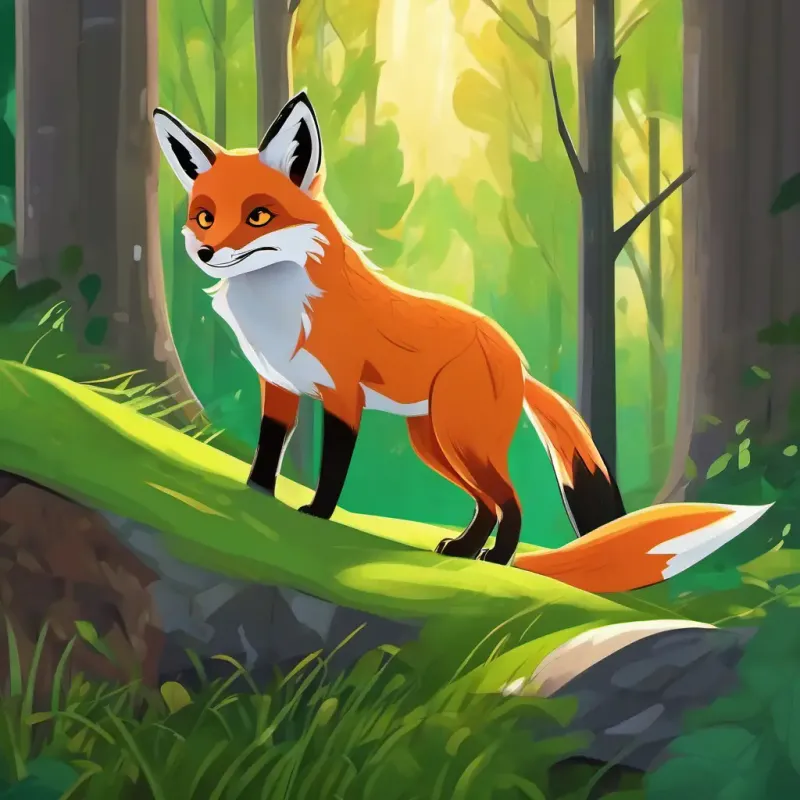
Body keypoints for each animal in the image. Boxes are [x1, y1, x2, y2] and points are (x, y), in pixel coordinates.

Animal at [152, 90, 773, 594]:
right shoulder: (278, 386)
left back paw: (496, 561)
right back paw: (467, 550)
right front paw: (256, 499)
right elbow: (267, 451)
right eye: (205, 217)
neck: (279, 308)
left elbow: (332, 469)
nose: (206, 252)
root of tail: (517, 358)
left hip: (460, 439)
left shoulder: (342, 396)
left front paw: (316, 515)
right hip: (435, 443)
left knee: (511, 502)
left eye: (259, 215)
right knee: (488, 504)